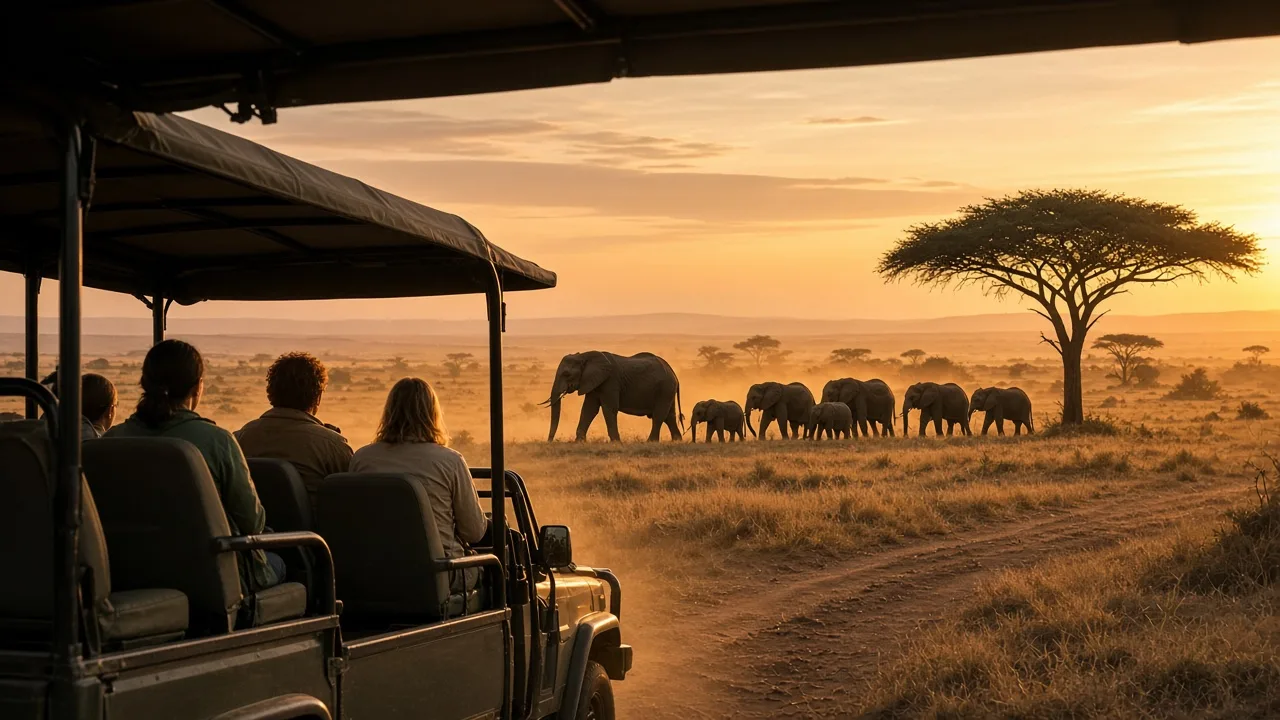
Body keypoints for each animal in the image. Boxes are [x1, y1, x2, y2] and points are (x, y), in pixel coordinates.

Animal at [543, 351, 684, 442]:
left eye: (566, 374)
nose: (550, 441)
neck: (584, 356)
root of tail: (674, 374)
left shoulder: (610, 381)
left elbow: (609, 408)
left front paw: (616, 442)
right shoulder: (593, 382)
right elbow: (589, 409)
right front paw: (579, 442)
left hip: (665, 388)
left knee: (659, 415)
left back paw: (651, 442)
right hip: (666, 390)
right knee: (669, 416)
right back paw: (677, 441)